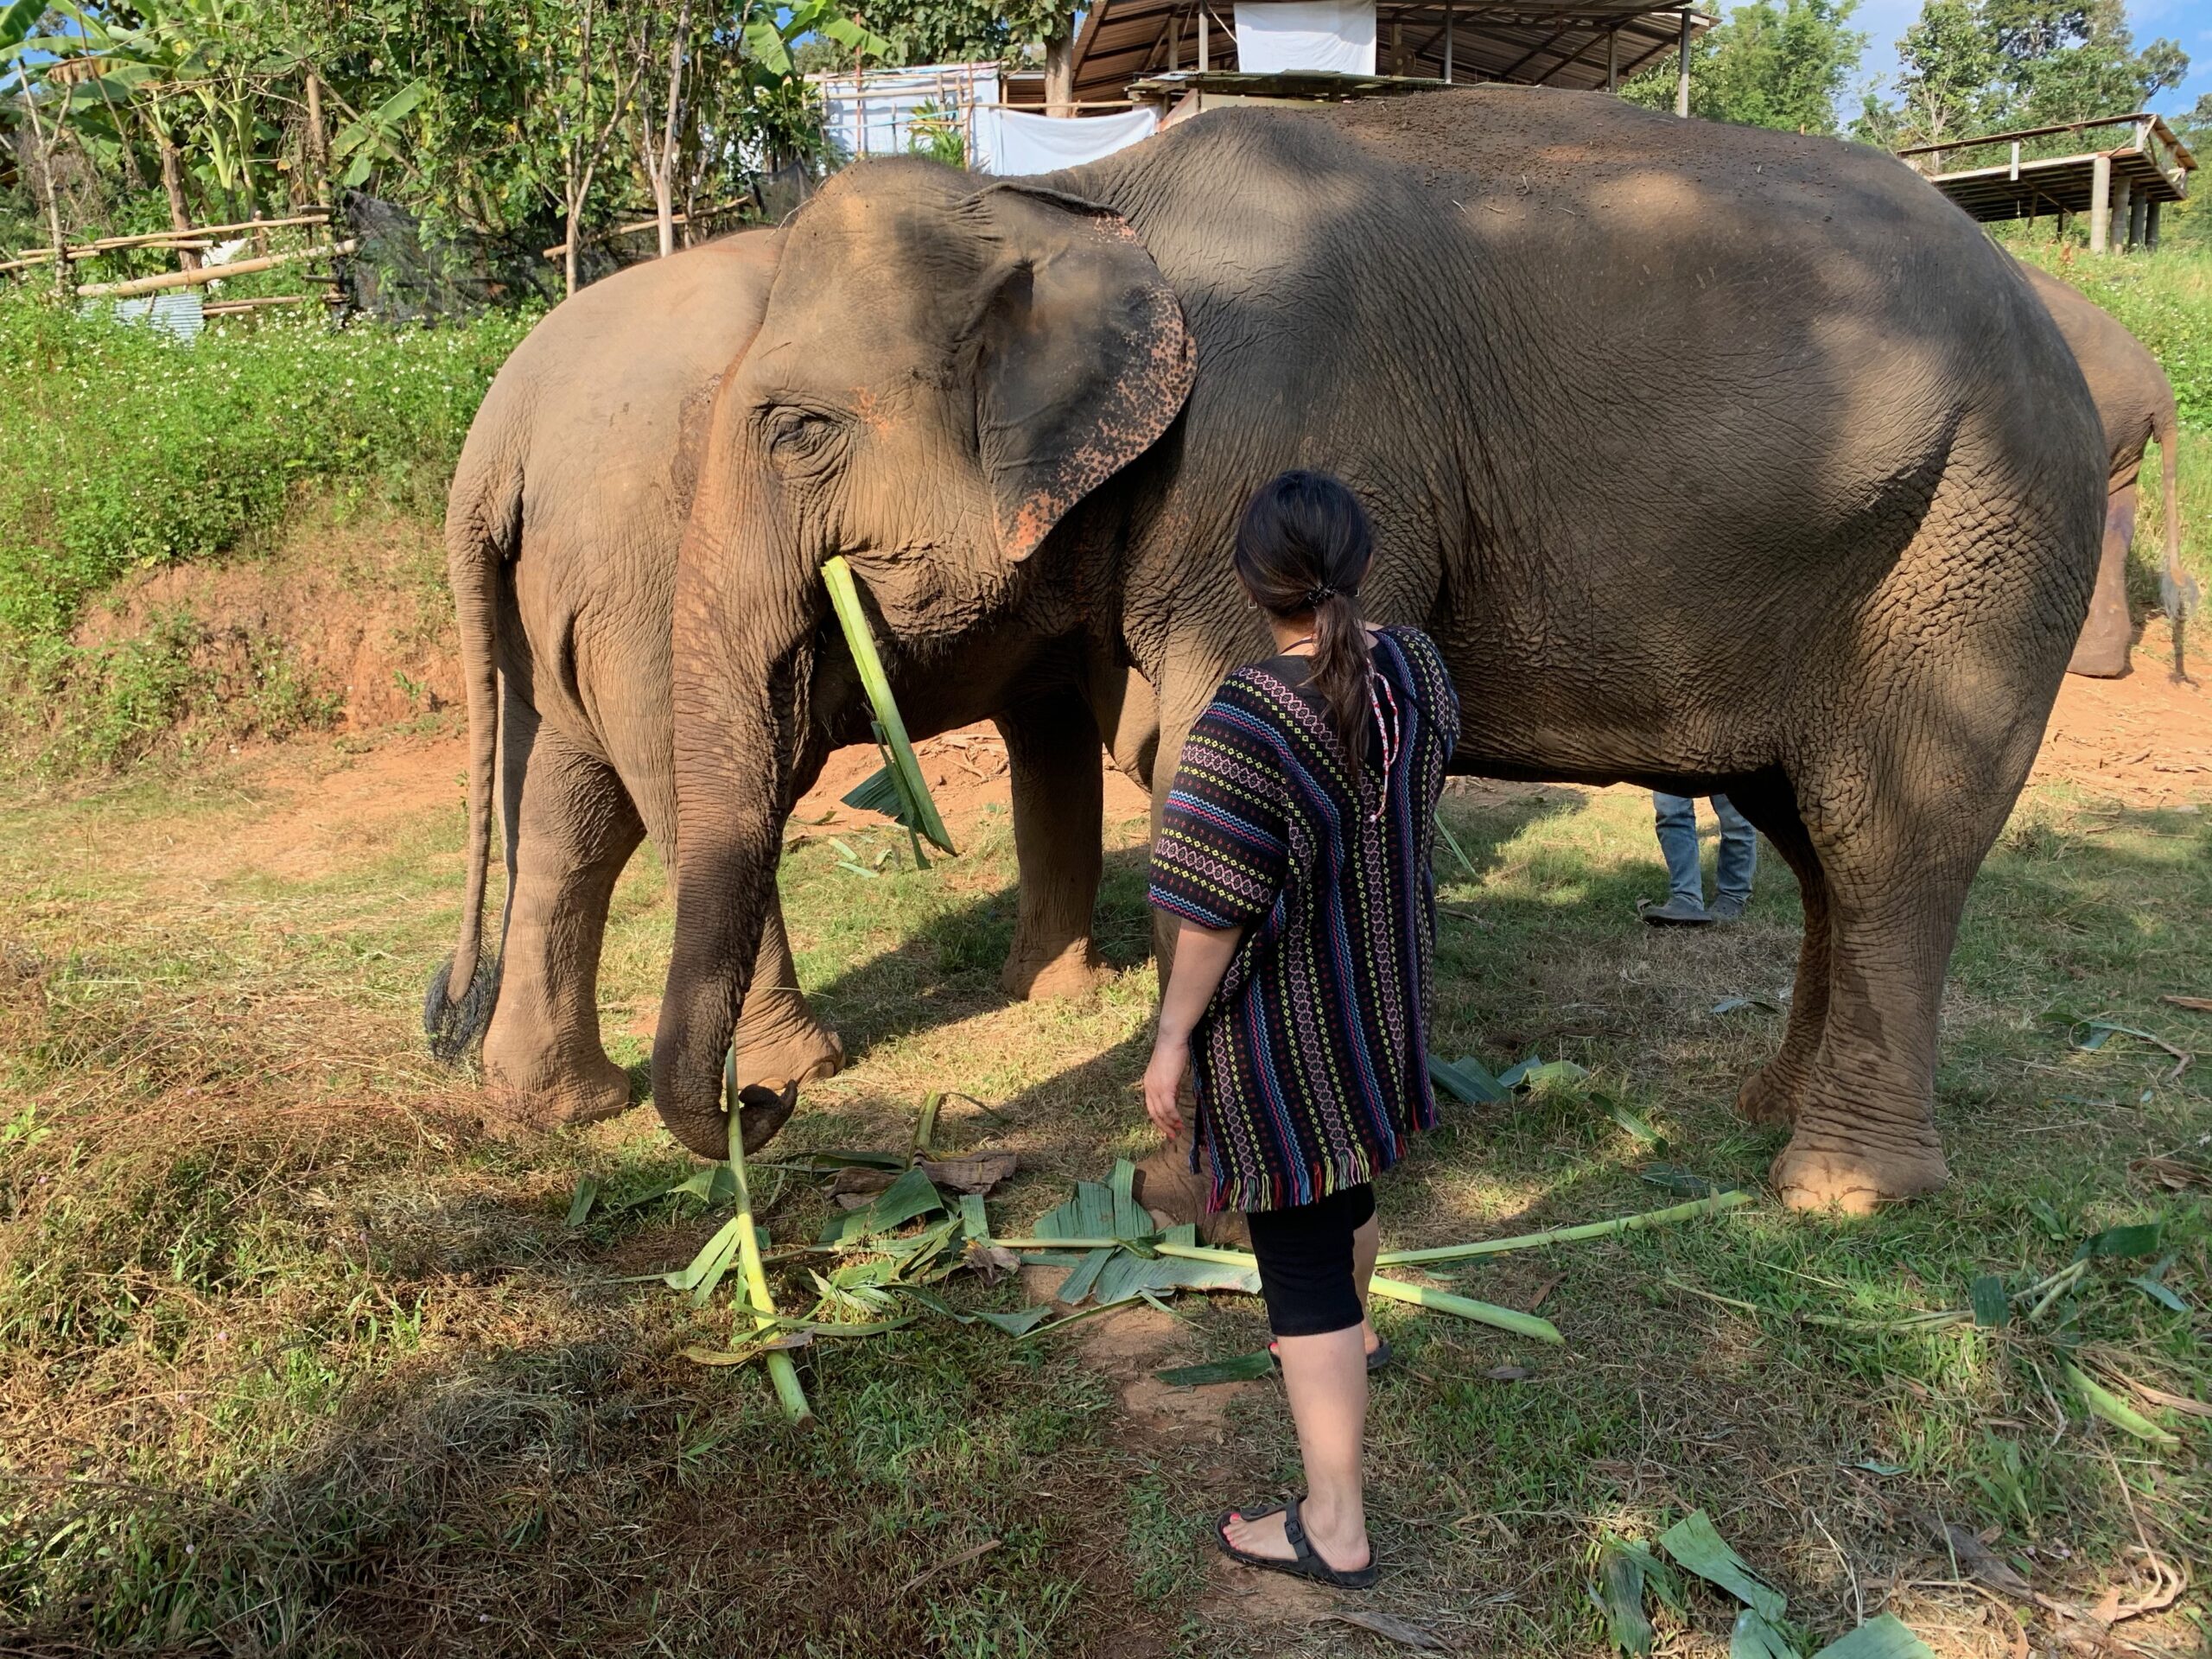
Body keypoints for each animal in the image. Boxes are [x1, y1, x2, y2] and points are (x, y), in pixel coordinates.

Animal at [427, 227, 1123, 1141]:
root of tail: (498, 435)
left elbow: (1055, 726)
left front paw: (1059, 991)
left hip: (548, 613)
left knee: (565, 818)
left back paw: (563, 1105)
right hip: (653, 594)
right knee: (694, 804)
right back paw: (797, 1071)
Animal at [645, 90, 2096, 1211]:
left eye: (794, 430)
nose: (770, 1102)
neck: (1083, 196)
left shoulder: (1287, 446)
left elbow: (1226, 787)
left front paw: (1192, 1202)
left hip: (1977, 539)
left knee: (1887, 833)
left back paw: (1840, 1191)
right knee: (1813, 838)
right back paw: (1764, 1110)